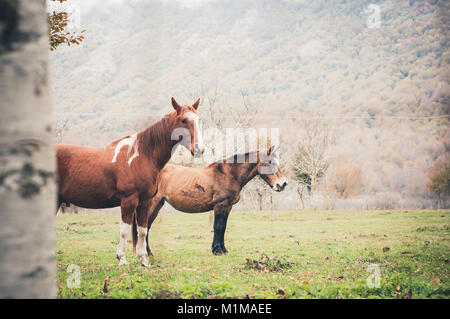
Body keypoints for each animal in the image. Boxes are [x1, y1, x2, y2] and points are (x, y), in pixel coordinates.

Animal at [55, 98, 205, 268]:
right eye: (184, 120)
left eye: (199, 120)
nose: (199, 149)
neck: (140, 156)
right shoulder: (129, 200)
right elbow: (125, 230)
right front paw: (122, 259)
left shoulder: (145, 201)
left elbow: (142, 230)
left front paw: (143, 260)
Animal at [133, 148, 288, 258]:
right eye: (269, 162)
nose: (283, 184)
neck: (229, 175)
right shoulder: (220, 205)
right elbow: (218, 227)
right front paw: (217, 251)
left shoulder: (227, 207)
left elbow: (223, 227)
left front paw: (223, 250)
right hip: (153, 204)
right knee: (144, 227)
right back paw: (147, 253)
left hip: (157, 205)